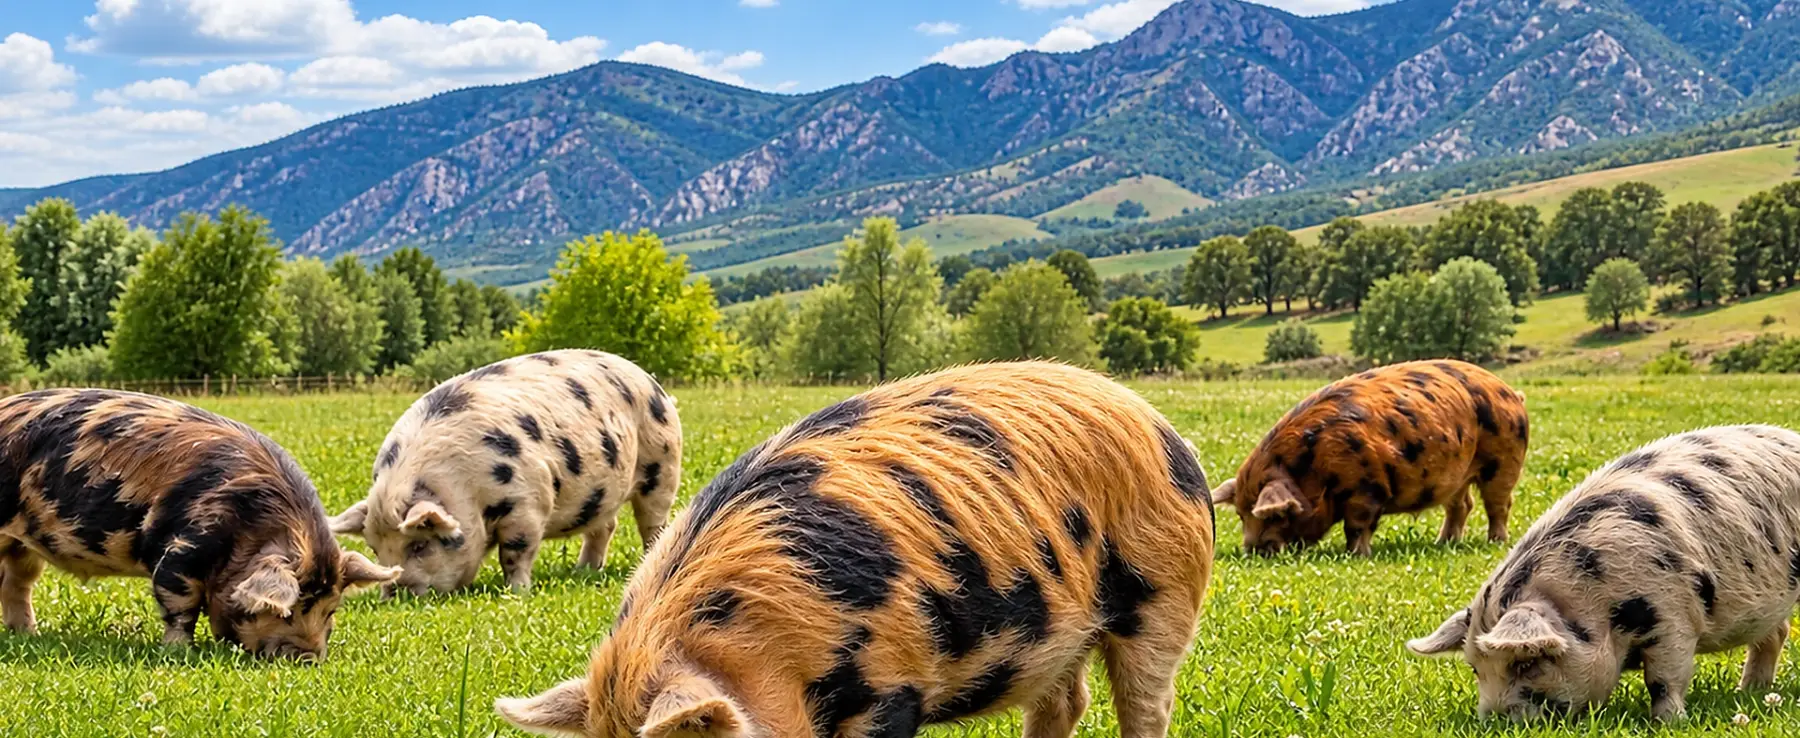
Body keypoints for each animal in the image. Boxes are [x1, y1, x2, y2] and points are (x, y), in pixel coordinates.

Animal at [0, 388, 397, 659]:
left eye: (330, 609)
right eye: (286, 611)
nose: (308, 659)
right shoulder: (181, 548)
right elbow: (180, 604)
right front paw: (179, 652)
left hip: (22, 545)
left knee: (18, 584)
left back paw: (28, 634)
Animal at [331, 349, 682, 595]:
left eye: (419, 545)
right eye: (375, 549)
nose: (394, 592)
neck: (464, 489)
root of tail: (651, 382)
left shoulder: (528, 501)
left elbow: (515, 552)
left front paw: (516, 592)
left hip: (662, 465)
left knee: (653, 523)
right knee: (604, 525)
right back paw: (583, 571)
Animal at [493, 361, 1216, 738]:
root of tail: (1160, 423)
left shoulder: (895, 683)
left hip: (1165, 589)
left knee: (1148, 699)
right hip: (1061, 631)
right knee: (1065, 701)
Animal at [1211, 359, 1527, 556]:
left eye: (1276, 515)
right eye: (1240, 514)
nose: (1253, 550)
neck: (1312, 468)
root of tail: (1512, 393)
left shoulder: (1366, 488)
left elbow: (1357, 526)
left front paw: (1356, 554)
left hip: (1504, 461)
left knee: (1498, 505)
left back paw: (1496, 541)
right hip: (1458, 474)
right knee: (1461, 505)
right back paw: (1444, 542)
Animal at [1409, 425, 1800, 722]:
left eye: (1527, 663)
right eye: (1476, 669)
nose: (1492, 721)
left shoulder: (1674, 617)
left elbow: (1664, 678)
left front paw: (1667, 722)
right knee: (1775, 633)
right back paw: (1749, 691)